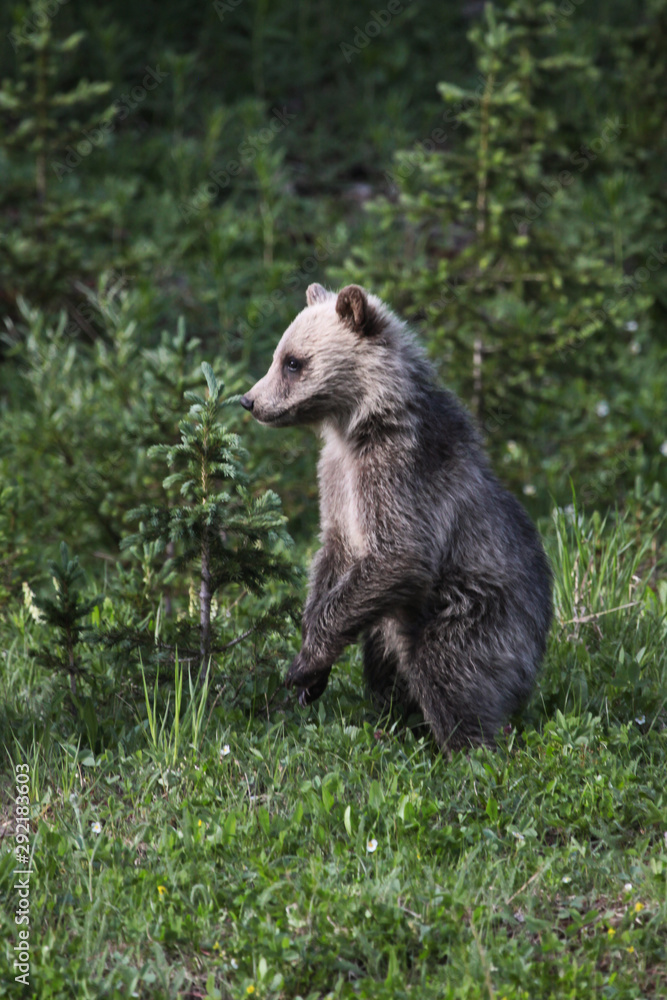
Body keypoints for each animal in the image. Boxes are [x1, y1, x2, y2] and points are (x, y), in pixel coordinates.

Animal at [240, 283, 552, 749]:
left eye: (292, 362)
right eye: (280, 355)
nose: (250, 400)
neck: (358, 425)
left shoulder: (398, 473)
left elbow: (401, 551)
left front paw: (303, 664)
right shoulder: (335, 479)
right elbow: (332, 552)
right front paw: (312, 673)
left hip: (478, 610)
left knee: (449, 667)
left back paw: (468, 744)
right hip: (393, 626)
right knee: (384, 663)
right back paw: (396, 722)